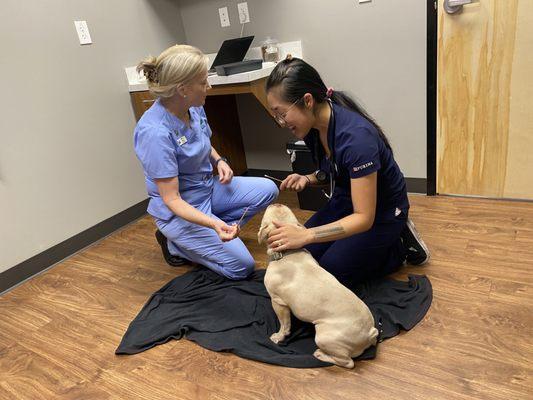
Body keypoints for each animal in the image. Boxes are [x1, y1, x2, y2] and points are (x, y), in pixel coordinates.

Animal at [258, 205, 378, 368]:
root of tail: (369, 333)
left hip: (324, 337)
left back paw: (321, 354)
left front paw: (279, 336)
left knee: (347, 362)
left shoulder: (278, 302)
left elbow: (285, 324)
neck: (287, 252)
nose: (277, 204)